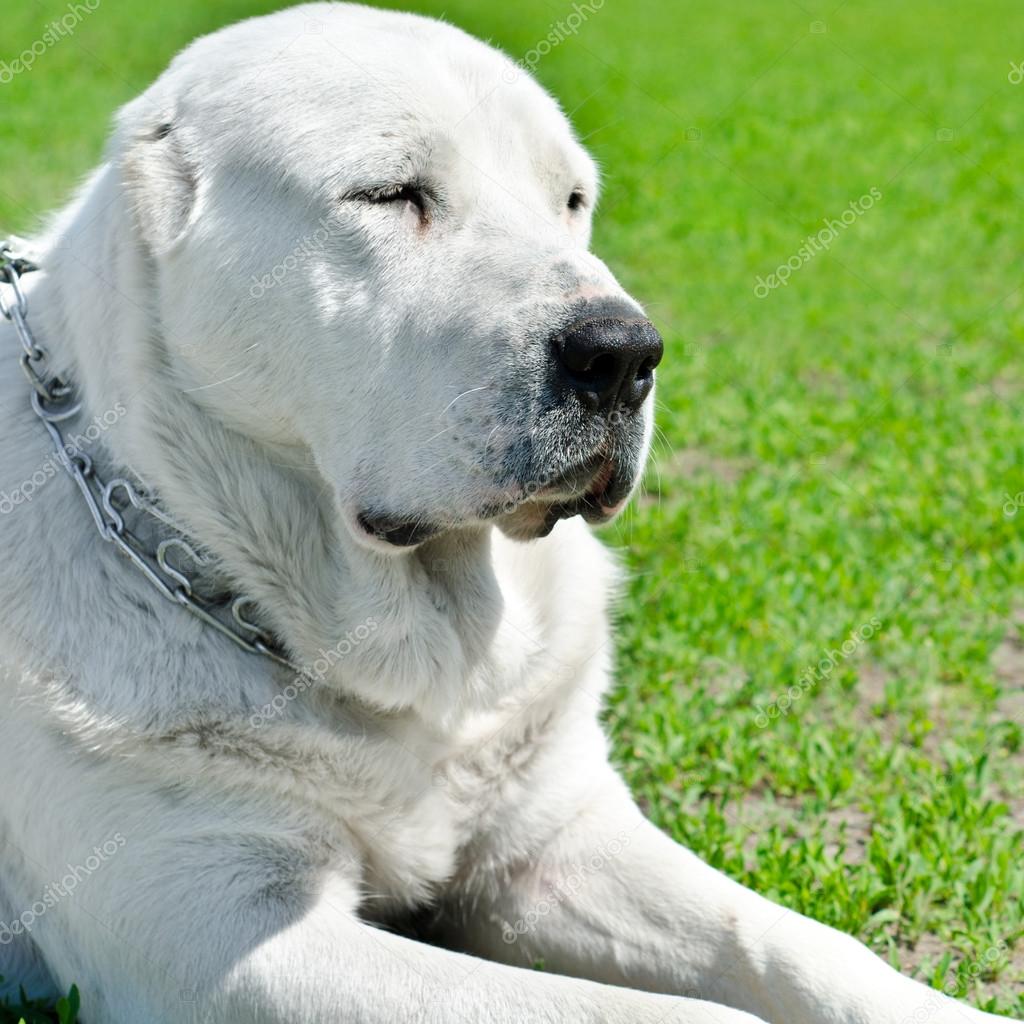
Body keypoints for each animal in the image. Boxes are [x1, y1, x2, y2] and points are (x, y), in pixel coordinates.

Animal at [2, 4, 1015, 1019]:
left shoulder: (553, 841)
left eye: (570, 199)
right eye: (390, 194)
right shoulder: (212, 928)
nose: (623, 353)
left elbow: (794, 943)